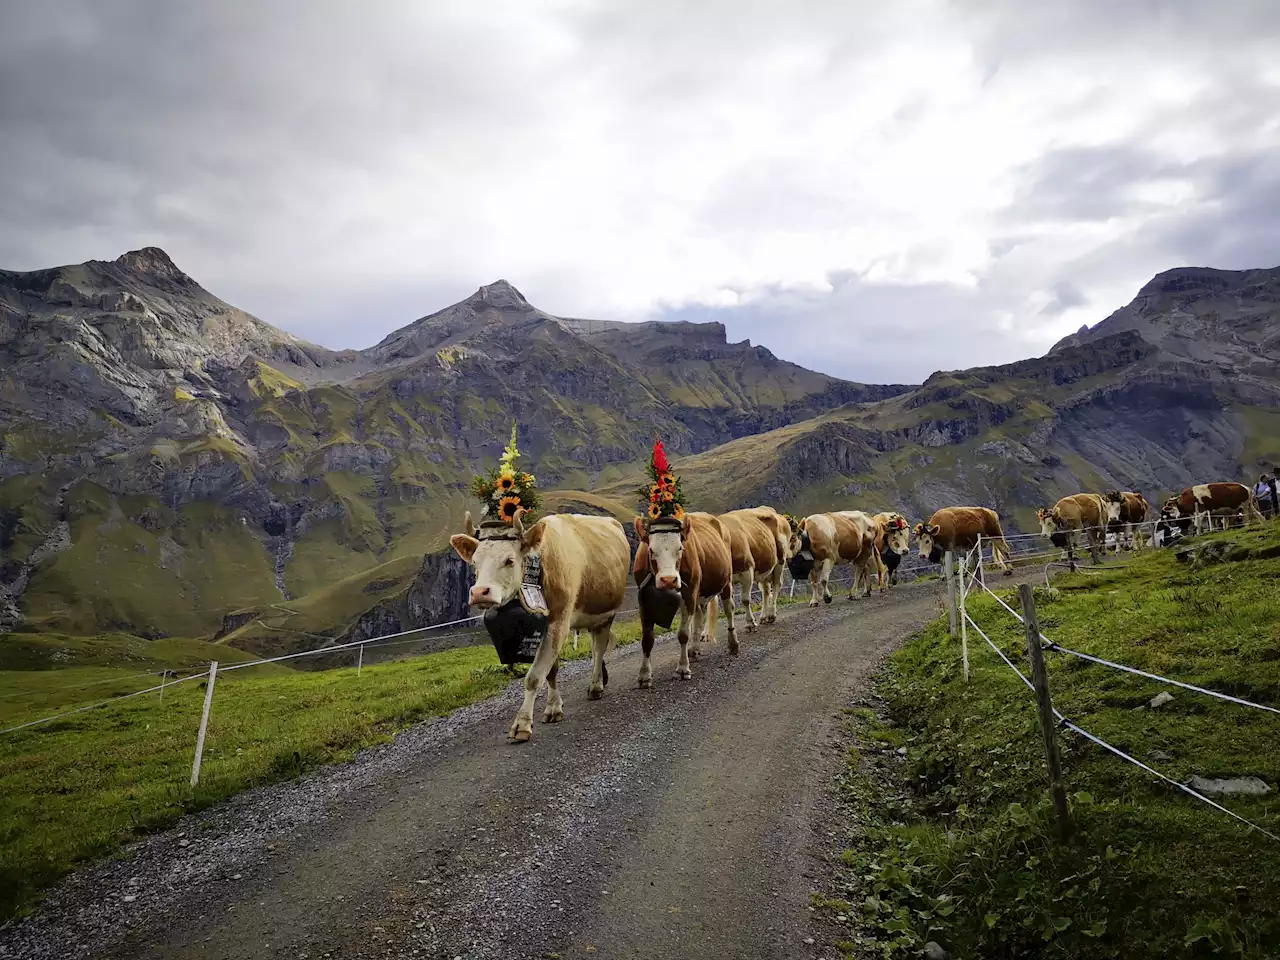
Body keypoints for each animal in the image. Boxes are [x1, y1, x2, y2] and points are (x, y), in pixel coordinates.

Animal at [450, 512, 629, 742]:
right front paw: (554, 707)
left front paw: (523, 723)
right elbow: (550, 670)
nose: (480, 592)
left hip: (607, 614)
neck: (541, 568)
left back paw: (596, 686)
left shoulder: (559, 621)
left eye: (509, 560)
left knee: (599, 649)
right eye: (475, 562)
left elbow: (535, 676)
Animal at [632, 512, 737, 686]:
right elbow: (647, 638)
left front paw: (682, 669)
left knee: (729, 610)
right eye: (651, 550)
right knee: (699, 616)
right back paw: (694, 650)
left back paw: (733, 643)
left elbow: (683, 634)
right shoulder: (643, 599)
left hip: (726, 581)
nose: (669, 580)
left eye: (680, 548)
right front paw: (645, 675)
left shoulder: (689, 592)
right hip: (700, 593)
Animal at [721, 506, 788, 634]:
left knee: (777, 585)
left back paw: (771, 614)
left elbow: (745, 599)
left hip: (780, 560)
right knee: (766, 591)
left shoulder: (747, 571)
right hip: (764, 568)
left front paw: (750, 623)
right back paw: (763, 617)